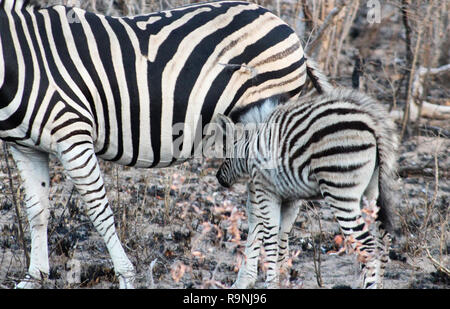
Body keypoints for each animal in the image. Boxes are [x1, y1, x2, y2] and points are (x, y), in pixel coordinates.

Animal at [0, 0, 330, 286]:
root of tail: (284, 25)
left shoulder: (72, 133)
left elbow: (99, 211)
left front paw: (126, 277)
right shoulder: (26, 148)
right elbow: (36, 211)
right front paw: (34, 278)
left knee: (268, 208)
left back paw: (255, 278)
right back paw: (257, 276)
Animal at [216, 88, 400, 288]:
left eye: (226, 154)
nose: (218, 178)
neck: (254, 146)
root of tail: (373, 125)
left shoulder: (266, 190)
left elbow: (271, 237)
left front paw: (272, 283)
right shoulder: (290, 197)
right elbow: (281, 236)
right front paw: (282, 279)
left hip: (341, 191)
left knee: (368, 246)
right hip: (370, 194)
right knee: (382, 241)